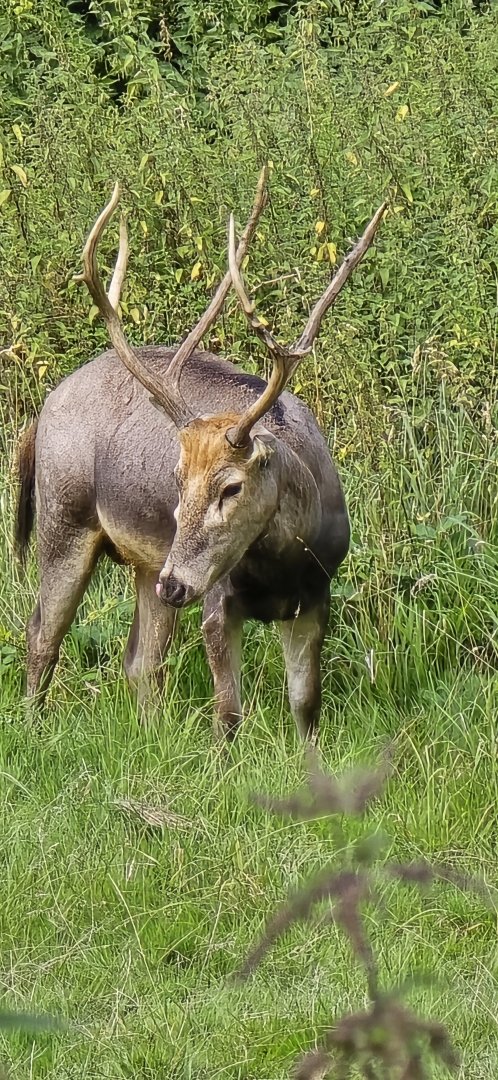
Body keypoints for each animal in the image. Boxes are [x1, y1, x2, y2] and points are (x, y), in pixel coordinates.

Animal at [15, 166, 386, 740]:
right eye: (178, 476)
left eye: (231, 486)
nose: (176, 583)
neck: (282, 563)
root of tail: (43, 410)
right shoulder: (218, 598)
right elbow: (228, 715)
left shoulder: (316, 595)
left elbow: (306, 707)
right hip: (66, 518)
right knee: (41, 633)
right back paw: (33, 726)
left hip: (146, 562)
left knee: (140, 659)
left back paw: (150, 735)